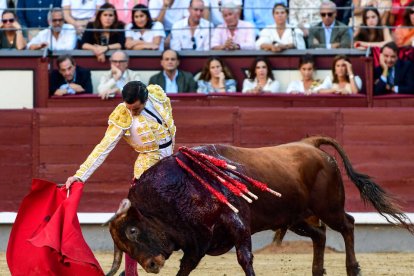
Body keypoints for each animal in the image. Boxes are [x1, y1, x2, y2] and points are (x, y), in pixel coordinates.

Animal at [107, 136, 414, 276]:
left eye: (133, 231)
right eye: (122, 245)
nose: (151, 265)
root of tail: (310, 144)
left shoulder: (237, 224)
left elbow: (245, 258)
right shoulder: (197, 240)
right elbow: (186, 266)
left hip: (329, 208)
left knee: (347, 225)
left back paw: (353, 268)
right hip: (296, 218)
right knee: (320, 235)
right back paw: (317, 271)